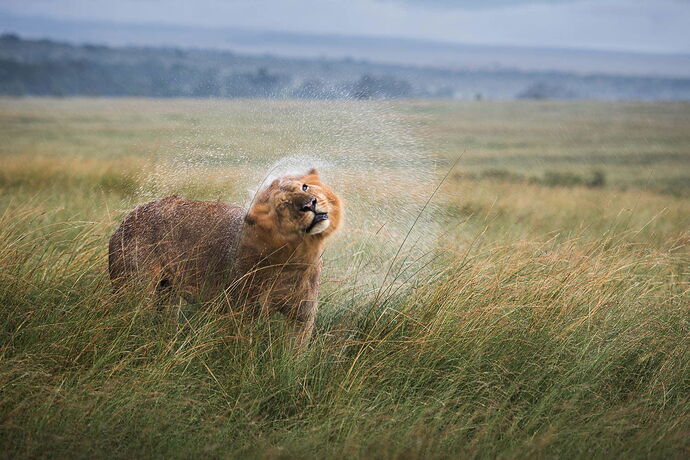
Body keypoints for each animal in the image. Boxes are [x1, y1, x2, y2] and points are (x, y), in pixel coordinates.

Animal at [108, 168, 342, 348]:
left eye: (304, 187)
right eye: (282, 206)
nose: (311, 204)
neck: (293, 262)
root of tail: (131, 214)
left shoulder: (302, 316)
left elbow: (295, 354)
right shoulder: (240, 312)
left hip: (168, 294)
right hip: (136, 289)